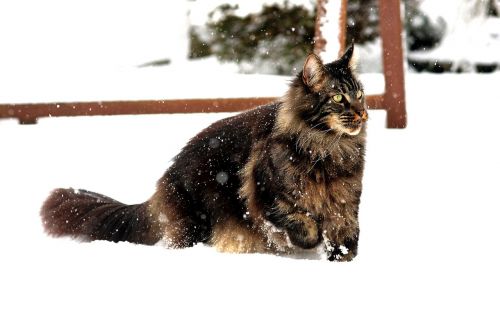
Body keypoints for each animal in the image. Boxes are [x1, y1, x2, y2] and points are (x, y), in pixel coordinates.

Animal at [42, 44, 368, 260]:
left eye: (360, 94)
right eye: (339, 98)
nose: (363, 113)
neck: (329, 148)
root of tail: (166, 177)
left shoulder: (345, 204)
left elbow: (346, 236)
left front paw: (341, 258)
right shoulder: (268, 197)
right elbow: (303, 224)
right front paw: (310, 242)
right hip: (197, 219)